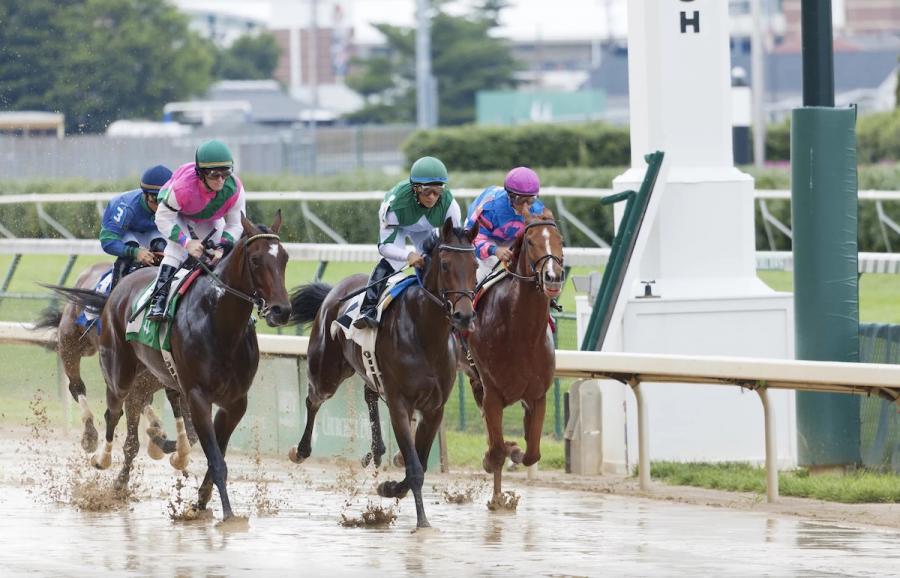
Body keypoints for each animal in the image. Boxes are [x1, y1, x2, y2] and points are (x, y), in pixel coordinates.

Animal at [37, 260, 196, 490]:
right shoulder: (141, 381)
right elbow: (133, 438)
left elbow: (191, 433)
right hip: (72, 344)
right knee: (76, 386)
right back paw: (89, 435)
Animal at [288, 219, 478, 528]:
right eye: (446, 264)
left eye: (475, 265)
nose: (464, 316)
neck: (425, 335)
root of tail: (334, 291)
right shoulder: (401, 403)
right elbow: (415, 467)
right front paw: (421, 521)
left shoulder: (434, 408)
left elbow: (420, 462)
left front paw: (390, 488)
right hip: (326, 370)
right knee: (313, 399)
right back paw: (301, 450)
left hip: (368, 371)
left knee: (369, 395)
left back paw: (376, 452)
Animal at [460, 209, 568, 502]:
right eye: (530, 241)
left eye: (560, 240)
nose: (553, 277)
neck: (521, 333)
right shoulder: (493, 393)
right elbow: (496, 450)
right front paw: (495, 459)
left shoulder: (537, 395)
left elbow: (532, 453)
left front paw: (515, 451)